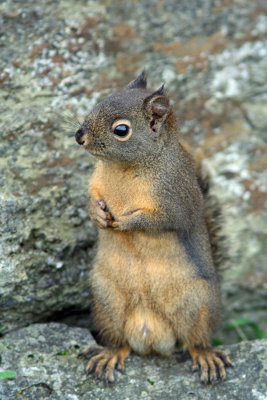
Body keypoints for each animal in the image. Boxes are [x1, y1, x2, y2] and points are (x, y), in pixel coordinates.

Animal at [75, 71, 232, 384]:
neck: (124, 168)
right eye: (99, 103)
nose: (79, 136)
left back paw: (206, 356)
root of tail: (152, 337)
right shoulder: (95, 183)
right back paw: (109, 353)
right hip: (106, 301)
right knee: (119, 341)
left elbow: (162, 220)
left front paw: (126, 221)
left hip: (196, 305)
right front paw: (98, 215)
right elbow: (90, 199)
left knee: (195, 340)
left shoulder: (177, 200)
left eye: (121, 130)